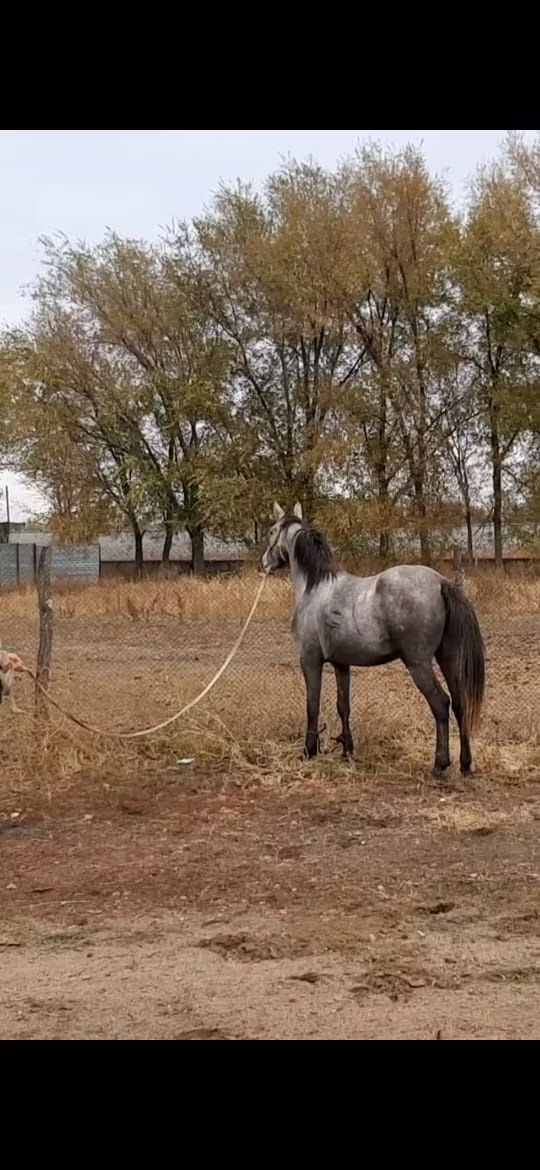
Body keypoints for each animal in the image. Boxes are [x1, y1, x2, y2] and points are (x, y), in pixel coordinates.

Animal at [261, 502, 486, 776]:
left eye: (271, 531)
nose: (265, 562)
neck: (315, 588)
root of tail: (442, 582)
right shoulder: (341, 664)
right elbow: (343, 706)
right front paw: (347, 750)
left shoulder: (310, 660)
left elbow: (312, 705)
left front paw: (308, 751)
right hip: (449, 658)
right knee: (460, 705)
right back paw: (465, 765)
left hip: (418, 663)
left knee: (441, 704)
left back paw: (439, 765)